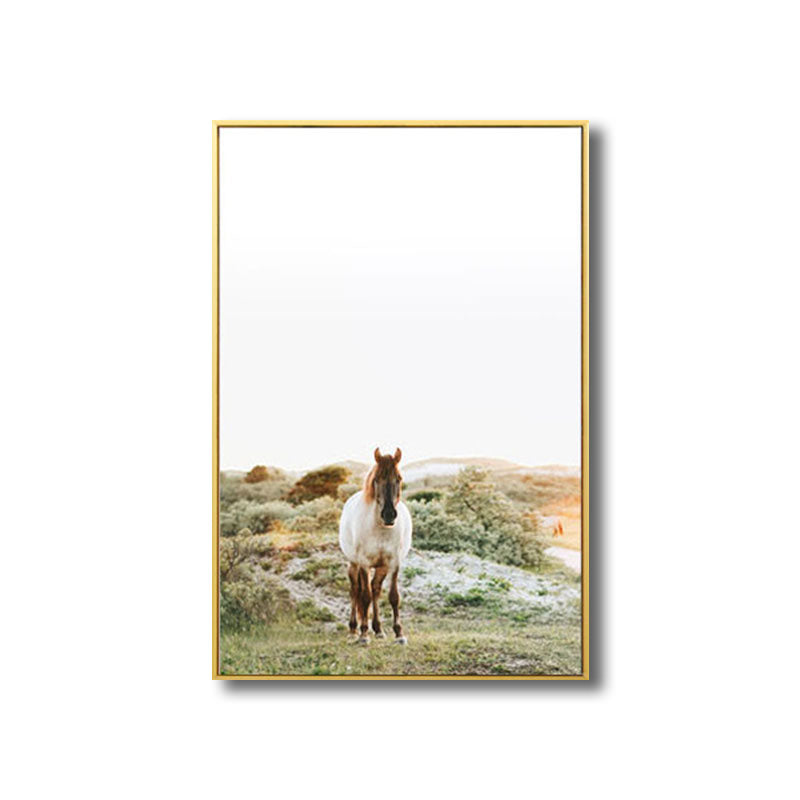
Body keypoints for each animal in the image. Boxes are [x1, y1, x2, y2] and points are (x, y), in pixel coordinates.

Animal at [338, 447, 412, 645]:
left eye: (398, 478)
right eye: (377, 479)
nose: (389, 515)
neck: (380, 529)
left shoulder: (393, 563)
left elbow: (393, 597)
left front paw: (399, 633)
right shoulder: (364, 563)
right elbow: (364, 597)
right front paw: (363, 634)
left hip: (381, 567)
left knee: (376, 590)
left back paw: (378, 629)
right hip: (353, 564)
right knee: (356, 591)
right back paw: (353, 630)